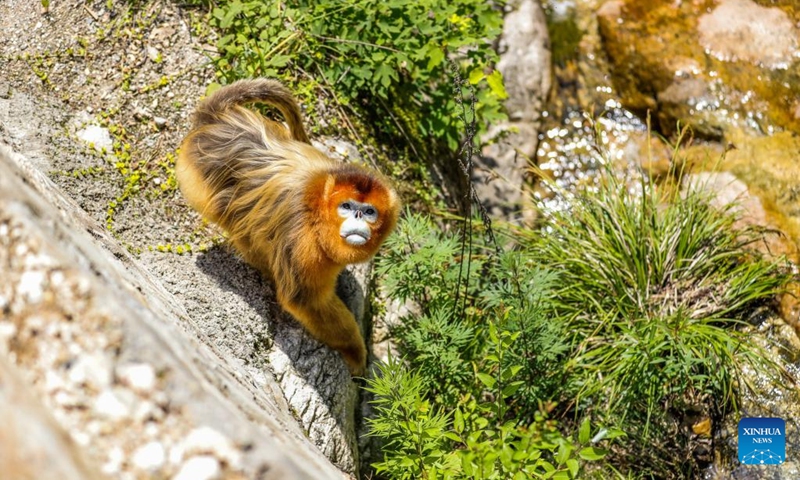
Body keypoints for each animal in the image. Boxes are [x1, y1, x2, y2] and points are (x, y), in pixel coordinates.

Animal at [175, 78, 400, 376]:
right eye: (347, 206)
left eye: (370, 211)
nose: (359, 216)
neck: (316, 207)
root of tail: (216, 120)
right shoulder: (302, 242)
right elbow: (304, 301)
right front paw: (354, 351)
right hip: (197, 179)